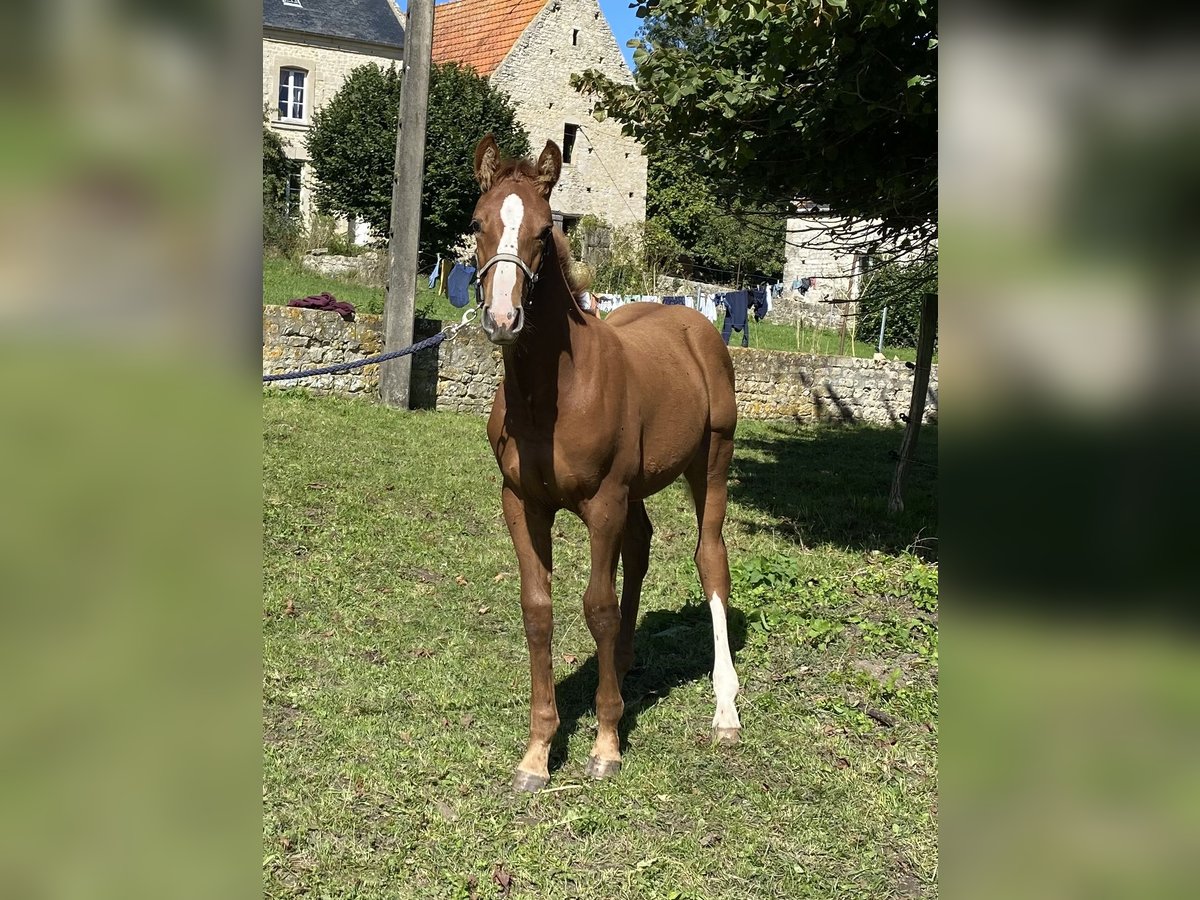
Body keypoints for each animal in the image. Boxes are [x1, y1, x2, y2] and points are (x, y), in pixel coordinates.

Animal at [470, 135, 739, 796]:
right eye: (478, 223)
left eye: (545, 231)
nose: (503, 320)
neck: (554, 395)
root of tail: (694, 321)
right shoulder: (522, 502)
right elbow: (539, 609)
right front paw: (538, 752)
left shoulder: (603, 502)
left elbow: (596, 606)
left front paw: (606, 743)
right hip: (638, 488)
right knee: (640, 547)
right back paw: (624, 660)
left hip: (711, 463)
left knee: (709, 559)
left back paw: (725, 709)